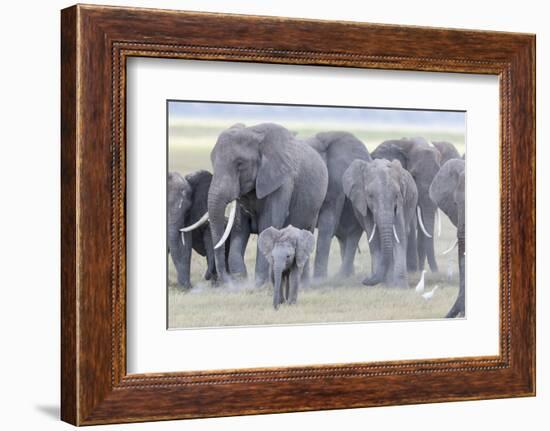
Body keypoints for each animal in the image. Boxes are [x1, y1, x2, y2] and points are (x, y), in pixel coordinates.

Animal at [206, 123, 328, 286]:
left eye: (240, 164)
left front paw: (259, 284)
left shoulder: (282, 182)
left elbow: (268, 224)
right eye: (212, 161)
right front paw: (241, 281)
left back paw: (303, 284)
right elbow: (240, 229)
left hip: (314, 208)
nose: (225, 281)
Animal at [308, 132, 374, 280]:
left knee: (352, 235)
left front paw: (319, 279)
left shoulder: (336, 180)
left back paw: (343, 276)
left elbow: (328, 223)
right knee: (343, 237)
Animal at [342, 159, 420, 290]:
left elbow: (399, 235)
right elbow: (373, 238)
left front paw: (400, 288)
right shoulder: (364, 205)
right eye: (370, 195)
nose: (365, 280)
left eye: (396, 195)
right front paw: (385, 284)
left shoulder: (400, 203)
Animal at [370, 138, 444, 274]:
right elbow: (412, 223)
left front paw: (418, 270)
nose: (436, 271)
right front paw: (412, 270)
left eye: (438, 177)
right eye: (413, 176)